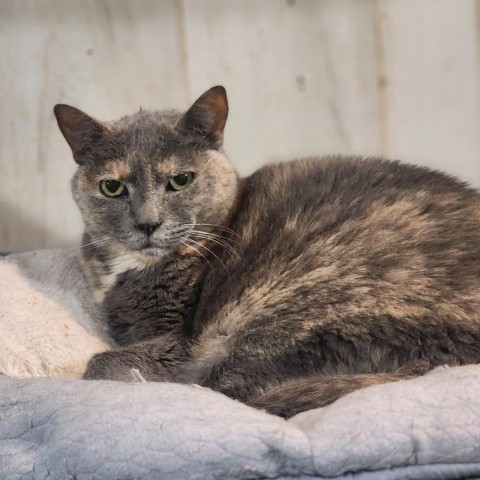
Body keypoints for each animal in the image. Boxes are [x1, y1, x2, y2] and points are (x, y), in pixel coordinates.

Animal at [54, 85, 480, 416]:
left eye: (180, 180)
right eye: (112, 187)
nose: (147, 223)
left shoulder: (179, 342)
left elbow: (104, 361)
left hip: (289, 310)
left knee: (228, 388)